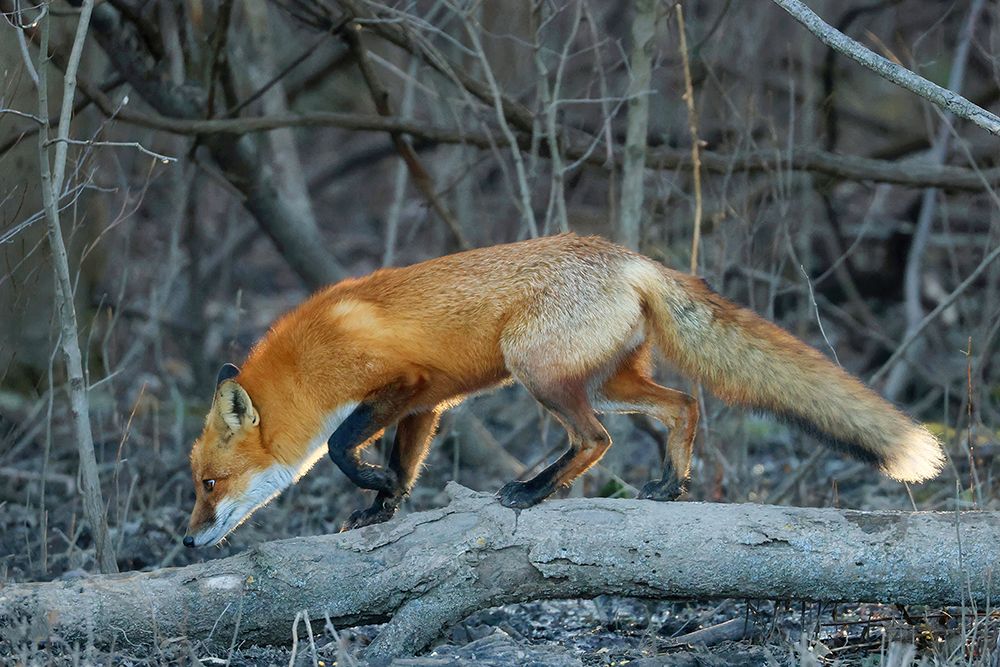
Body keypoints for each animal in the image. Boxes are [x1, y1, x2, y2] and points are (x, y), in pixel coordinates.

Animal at [183, 234, 945, 547]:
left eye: (209, 485)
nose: (189, 540)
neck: (310, 361)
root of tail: (631, 258)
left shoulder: (408, 383)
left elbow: (343, 445)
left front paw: (369, 484)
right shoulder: (427, 405)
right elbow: (404, 464)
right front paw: (381, 508)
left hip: (537, 370)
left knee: (595, 439)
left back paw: (533, 491)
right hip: (605, 381)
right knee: (681, 405)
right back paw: (670, 484)